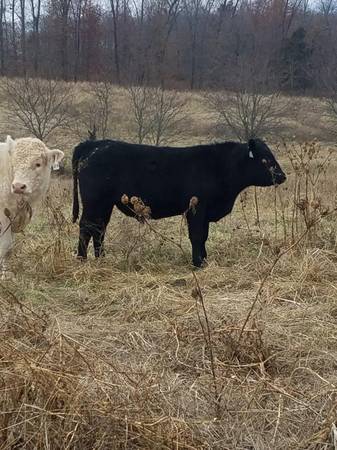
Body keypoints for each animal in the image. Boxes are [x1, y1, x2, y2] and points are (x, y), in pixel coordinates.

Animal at [0, 135, 63, 280]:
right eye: (14, 163)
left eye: (38, 164)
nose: (18, 186)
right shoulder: (3, 216)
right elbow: (5, 245)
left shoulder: (13, 217)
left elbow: (9, 247)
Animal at [72, 137, 284, 264]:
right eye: (265, 159)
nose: (282, 176)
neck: (221, 166)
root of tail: (95, 144)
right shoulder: (197, 209)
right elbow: (197, 236)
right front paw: (198, 263)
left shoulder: (205, 213)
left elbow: (204, 236)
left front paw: (204, 260)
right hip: (94, 203)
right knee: (87, 227)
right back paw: (82, 259)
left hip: (104, 205)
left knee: (99, 229)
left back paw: (101, 259)